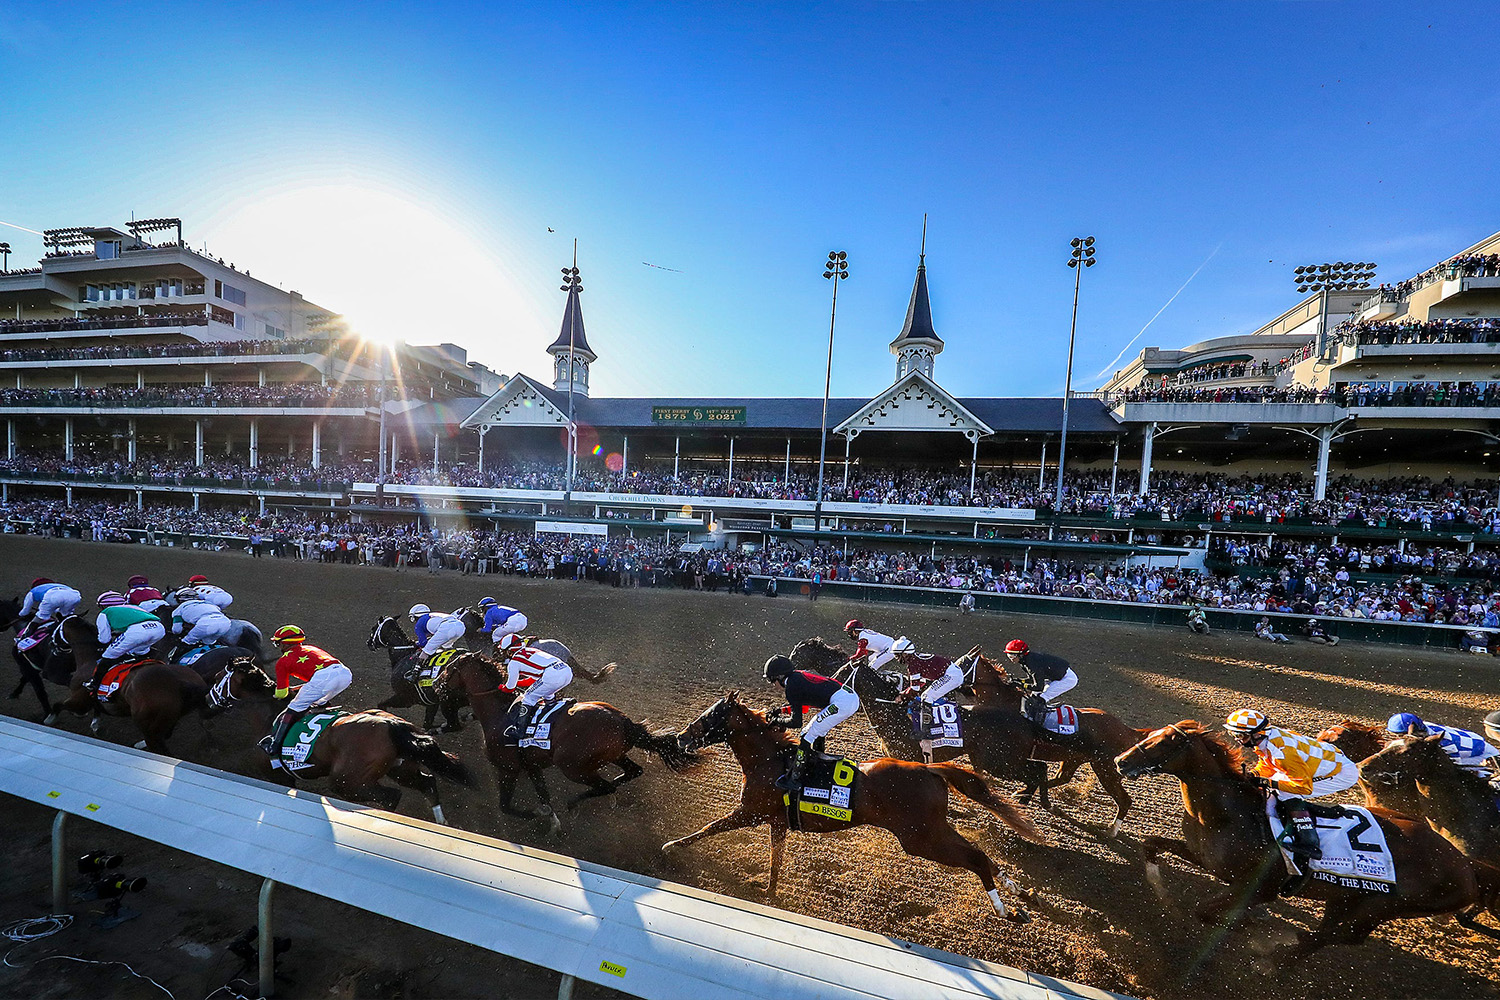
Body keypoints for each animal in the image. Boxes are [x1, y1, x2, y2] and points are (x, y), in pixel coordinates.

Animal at [435, 653, 690, 833]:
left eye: (449, 668)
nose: (437, 685)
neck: (498, 713)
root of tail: (624, 722)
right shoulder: (532, 766)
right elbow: (544, 796)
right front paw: (553, 824)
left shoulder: (508, 768)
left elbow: (505, 806)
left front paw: (537, 814)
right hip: (614, 755)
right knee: (631, 773)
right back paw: (611, 790)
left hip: (572, 767)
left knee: (604, 786)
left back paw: (575, 803)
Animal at [663, 695, 1050, 923]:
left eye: (712, 715)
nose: (682, 737)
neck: (771, 760)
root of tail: (930, 769)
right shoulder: (777, 821)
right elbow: (775, 860)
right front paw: (770, 893)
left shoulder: (749, 812)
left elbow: (709, 828)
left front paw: (671, 845)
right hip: (933, 830)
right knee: (981, 853)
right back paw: (1017, 893)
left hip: (920, 839)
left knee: (974, 858)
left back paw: (1004, 908)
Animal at [1116, 719, 1476, 959]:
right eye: (1150, 735)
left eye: (1163, 743)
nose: (1121, 761)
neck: (1227, 813)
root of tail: (1464, 864)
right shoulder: (1204, 856)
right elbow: (1150, 844)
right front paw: (1159, 889)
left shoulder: (1261, 887)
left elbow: (1208, 912)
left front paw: (1254, 930)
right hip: (1348, 897)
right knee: (1332, 933)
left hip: (1380, 905)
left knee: (1336, 935)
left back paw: (1275, 960)